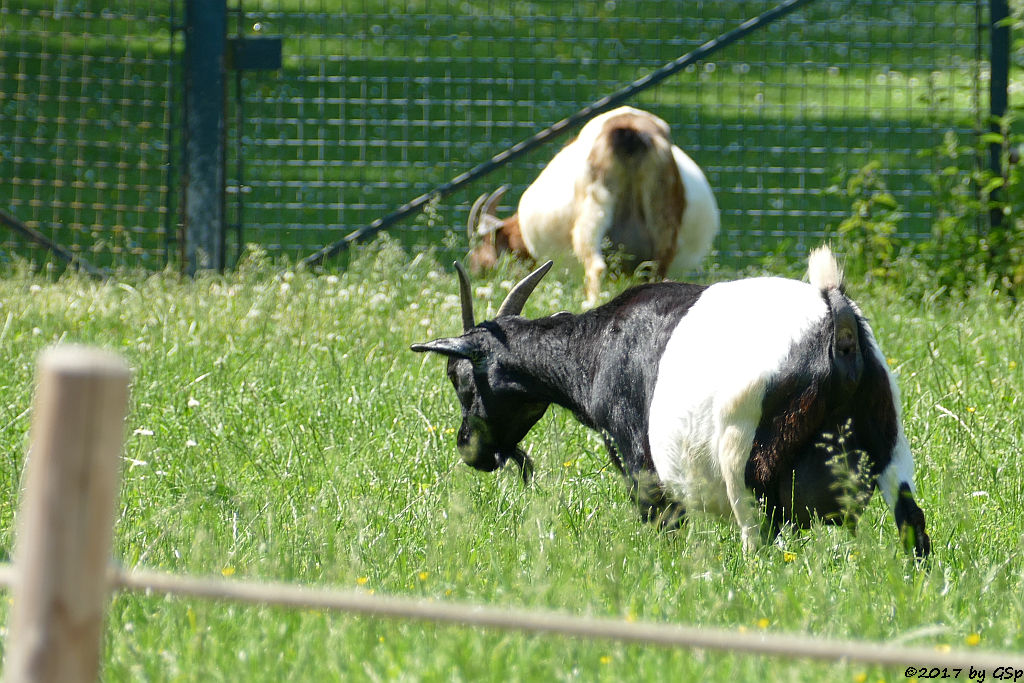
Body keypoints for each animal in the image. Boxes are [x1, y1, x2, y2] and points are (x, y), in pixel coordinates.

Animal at [411, 248, 933, 557]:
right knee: (913, 522)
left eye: (457, 377)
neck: (594, 345)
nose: (468, 447)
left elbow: (660, 520)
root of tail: (834, 319)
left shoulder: (637, 460)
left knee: (760, 540)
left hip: (747, 462)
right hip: (888, 439)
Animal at [466, 105, 720, 305]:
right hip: (663, 220)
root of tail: (629, 133)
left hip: (593, 215)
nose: (475, 272)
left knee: (596, 268)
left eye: (483, 246)